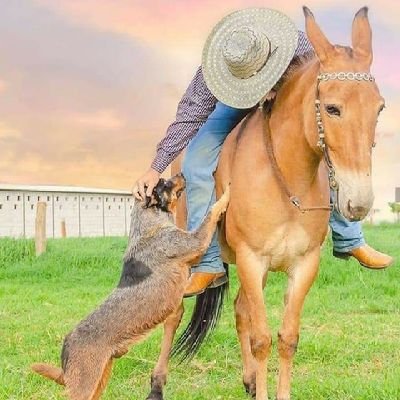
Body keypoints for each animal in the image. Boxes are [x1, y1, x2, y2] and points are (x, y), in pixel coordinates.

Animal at [32, 173, 228, 400]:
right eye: (164, 183)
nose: (181, 174)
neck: (148, 224)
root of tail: (65, 349)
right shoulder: (195, 241)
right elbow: (212, 211)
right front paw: (227, 193)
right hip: (86, 385)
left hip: (101, 378)